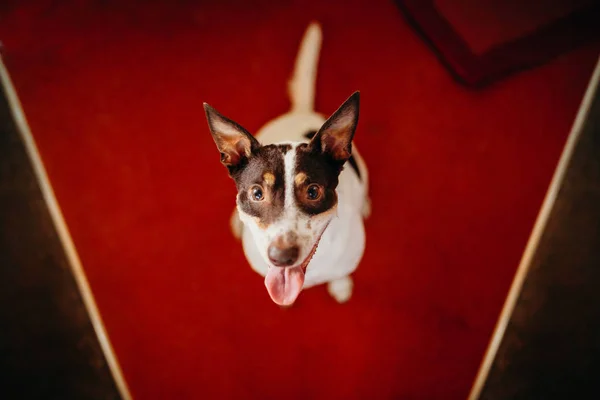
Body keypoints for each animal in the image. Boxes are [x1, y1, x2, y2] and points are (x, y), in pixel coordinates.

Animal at [204, 22, 368, 306]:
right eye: (257, 193)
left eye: (313, 191)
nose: (281, 257)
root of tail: (300, 111)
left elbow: (342, 271)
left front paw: (341, 285)